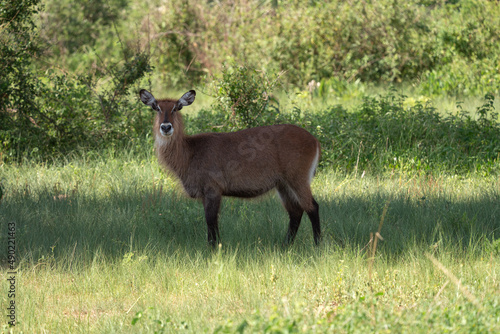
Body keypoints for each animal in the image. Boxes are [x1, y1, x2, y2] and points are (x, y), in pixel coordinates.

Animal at [139, 90, 322, 247]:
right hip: (283, 185)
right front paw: (217, 247)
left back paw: (317, 245)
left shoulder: (213, 189)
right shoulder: (207, 194)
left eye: (177, 107)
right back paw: (285, 246)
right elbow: (213, 223)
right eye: (156, 107)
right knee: (296, 212)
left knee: (312, 207)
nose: (166, 127)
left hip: (297, 179)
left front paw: (213, 249)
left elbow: (211, 221)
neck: (190, 152)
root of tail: (314, 140)